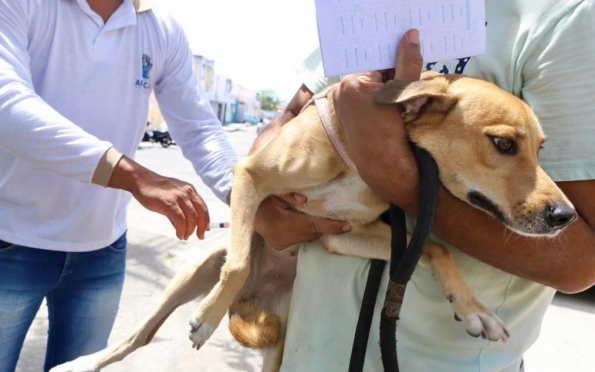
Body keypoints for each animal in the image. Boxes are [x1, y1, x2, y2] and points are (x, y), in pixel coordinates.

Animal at [52, 73, 576, 372]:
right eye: (503, 143)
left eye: (540, 148)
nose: (567, 216)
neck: (359, 155)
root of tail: (252, 303)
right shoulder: (251, 175)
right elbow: (239, 261)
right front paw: (205, 320)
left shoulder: (341, 237)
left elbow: (436, 246)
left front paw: (473, 309)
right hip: (191, 273)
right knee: (139, 336)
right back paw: (88, 361)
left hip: (281, 346)